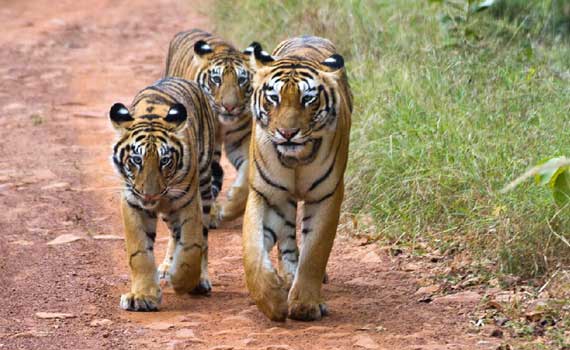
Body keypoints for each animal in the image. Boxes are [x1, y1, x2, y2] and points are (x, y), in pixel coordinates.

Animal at [110, 77, 216, 312]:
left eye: (165, 160)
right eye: (136, 160)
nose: (150, 196)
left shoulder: (188, 202)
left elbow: (191, 247)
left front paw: (183, 280)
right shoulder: (133, 204)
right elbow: (139, 253)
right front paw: (142, 296)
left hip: (204, 185)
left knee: (202, 237)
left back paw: (197, 279)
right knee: (175, 234)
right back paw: (167, 266)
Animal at [163, 28, 258, 228]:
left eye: (242, 80)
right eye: (216, 79)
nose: (229, 106)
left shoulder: (241, 141)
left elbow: (246, 177)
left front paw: (230, 207)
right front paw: (211, 213)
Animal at [241, 37, 350, 322]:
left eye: (307, 99)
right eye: (274, 98)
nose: (287, 133)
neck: (296, 160)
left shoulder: (327, 195)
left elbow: (315, 252)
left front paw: (305, 305)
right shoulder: (266, 195)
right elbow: (252, 251)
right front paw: (272, 300)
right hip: (284, 201)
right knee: (288, 239)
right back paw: (288, 275)